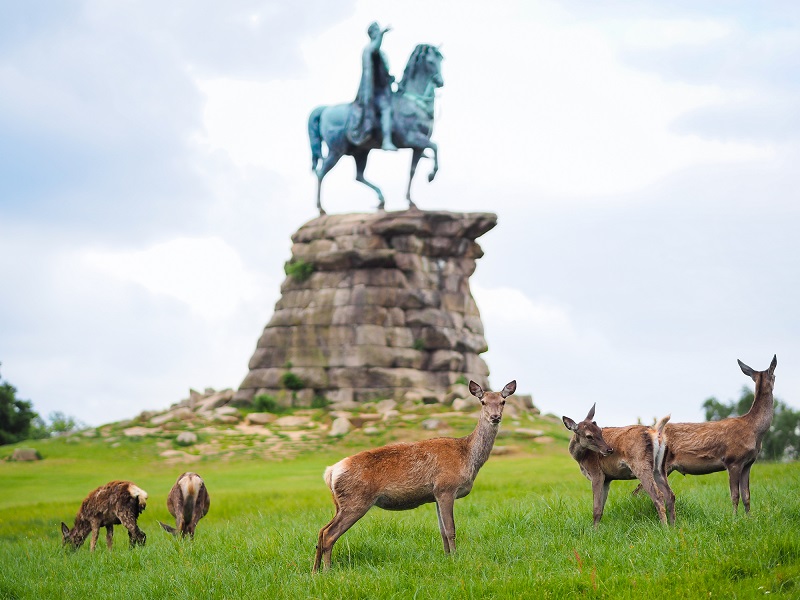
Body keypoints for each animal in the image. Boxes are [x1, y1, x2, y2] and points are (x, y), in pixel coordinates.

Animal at [312, 380, 520, 572]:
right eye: (483, 402)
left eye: (503, 401)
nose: (495, 417)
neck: (467, 457)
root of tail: (331, 471)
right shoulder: (446, 488)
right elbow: (451, 529)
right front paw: (455, 559)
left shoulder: (436, 494)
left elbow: (442, 531)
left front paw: (447, 558)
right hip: (356, 500)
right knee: (329, 533)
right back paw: (327, 570)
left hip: (341, 504)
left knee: (321, 530)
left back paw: (315, 571)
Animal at [652, 354, 780, 512]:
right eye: (774, 374)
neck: (754, 431)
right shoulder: (733, 460)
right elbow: (735, 496)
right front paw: (734, 517)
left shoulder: (748, 463)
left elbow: (747, 496)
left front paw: (749, 517)